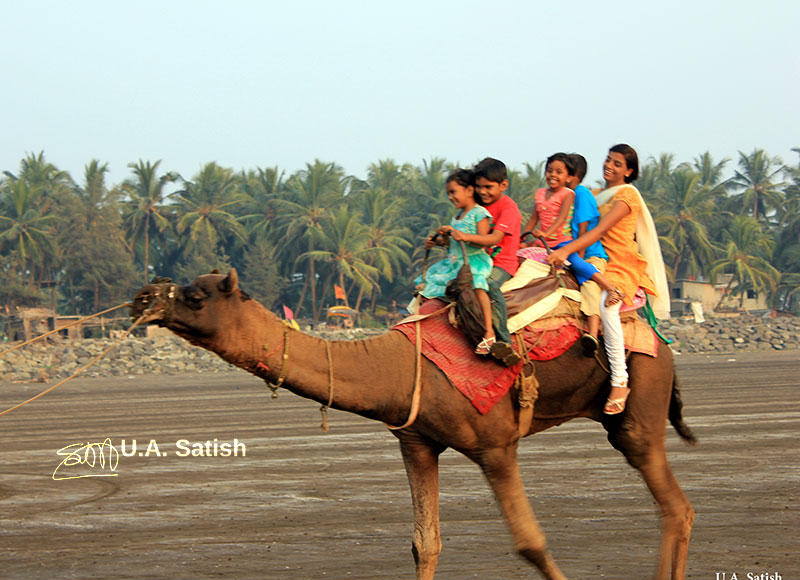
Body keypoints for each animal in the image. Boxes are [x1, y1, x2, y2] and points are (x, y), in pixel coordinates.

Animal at [130, 270, 692, 576]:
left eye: (196, 296)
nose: (146, 296)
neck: (402, 366)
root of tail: (662, 338)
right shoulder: (416, 441)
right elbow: (425, 543)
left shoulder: (496, 446)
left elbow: (531, 542)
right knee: (676, 507)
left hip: (639, 397)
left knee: (674, 503)